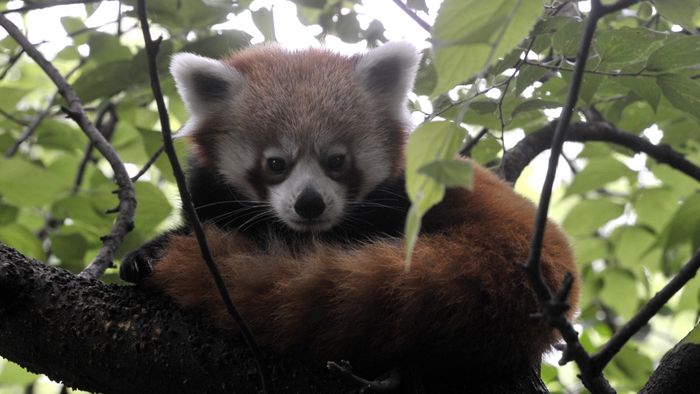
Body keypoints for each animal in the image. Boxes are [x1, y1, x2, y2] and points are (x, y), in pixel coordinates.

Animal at [121, 43, 580, 384]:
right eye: (276, 164)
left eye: (337, 161)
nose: (309, 203)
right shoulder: (211, 193)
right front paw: (145, 254)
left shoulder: (397, 200)